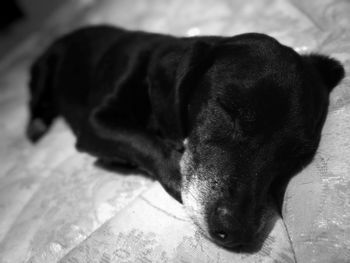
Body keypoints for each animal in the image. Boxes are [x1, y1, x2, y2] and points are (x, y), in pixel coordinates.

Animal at [26, 26, 344, 252]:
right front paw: (175, 178)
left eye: (294, 157)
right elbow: (143, 142)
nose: (237, 232)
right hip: (44, 70)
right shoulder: (94, 124)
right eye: (228, 110)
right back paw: (36, 126)